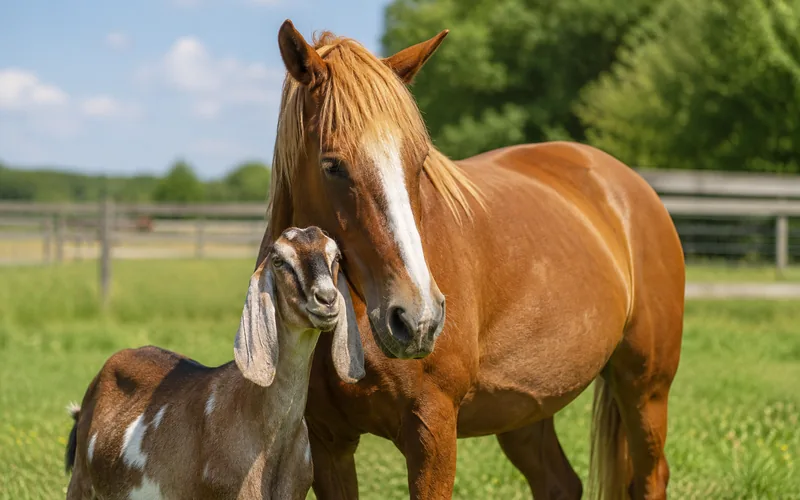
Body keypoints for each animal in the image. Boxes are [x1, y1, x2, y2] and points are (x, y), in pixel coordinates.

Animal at [254, 19, 685, 500]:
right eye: (332, 166)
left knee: (651, 476)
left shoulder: (432, 429)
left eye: (419, 161)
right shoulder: (329, 443)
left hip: (645, 389)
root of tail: (628, 186)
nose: (417, 318)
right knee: (559, 482)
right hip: (526, 409)